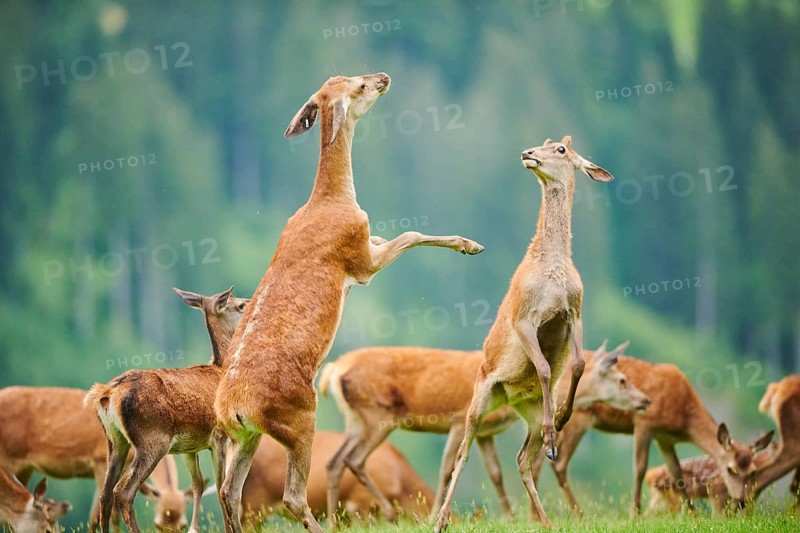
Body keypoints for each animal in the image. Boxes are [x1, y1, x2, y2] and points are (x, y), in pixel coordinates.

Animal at [85, 286, 249, 533]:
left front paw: (193, 528)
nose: (252, 302)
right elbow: (221, 488)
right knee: (123, 491)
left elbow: (198, 485)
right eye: (240, 305)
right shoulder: (218, 436)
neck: (220, 369)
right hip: (152, 440)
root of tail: (109, 393)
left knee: (105, 494)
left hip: (115, 441)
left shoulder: (189, 447)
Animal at [214, 72, 484, 533]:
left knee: (229, 493)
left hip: (246, 437)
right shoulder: (360, 259)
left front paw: (468, 243)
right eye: (358, 86)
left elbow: (398, 234)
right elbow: (409, 234)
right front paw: (469, 245)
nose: (383, 77)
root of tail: (233, 410)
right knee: (292, 496)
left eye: (341, 76)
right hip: (300, 416)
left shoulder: (365, 246)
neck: (332, 200)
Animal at [321, 340, 650, 522]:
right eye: (622, 380)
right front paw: (434, 517)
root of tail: (333, 370)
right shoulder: (457, 420)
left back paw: (336, 522)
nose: (645, 400)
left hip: (356, 420)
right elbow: (447, 468)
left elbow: (495, 473)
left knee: (336, 461)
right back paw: (388, 514)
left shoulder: (486, 433)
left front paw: (511, 516)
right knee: (353, 459)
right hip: (377, 415)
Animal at [434, 136, 614, 532]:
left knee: (521, 459)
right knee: (462, 454)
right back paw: (439, 521)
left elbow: (577, 364)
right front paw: (554, 428)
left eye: (560, 149)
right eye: (544, 143)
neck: (553, 272)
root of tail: (510, 397)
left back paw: (546, 517)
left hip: (524, 410)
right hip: (480, 398)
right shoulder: (523, 317)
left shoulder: (575, 313)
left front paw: (560, 418)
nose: (527, 153)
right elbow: (545, 367)